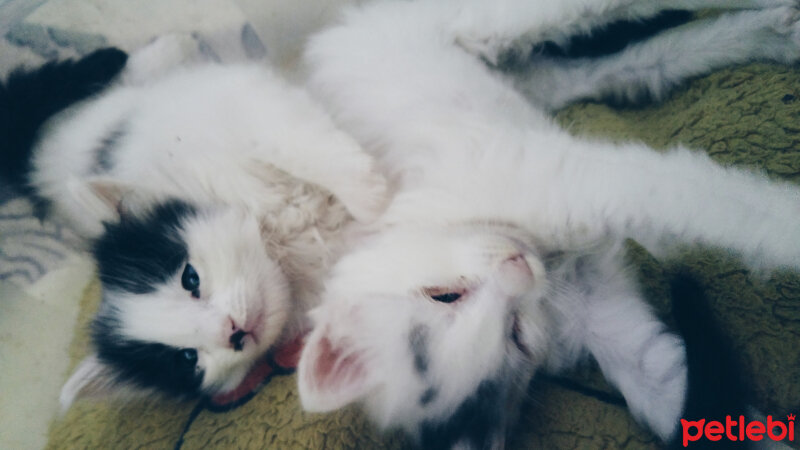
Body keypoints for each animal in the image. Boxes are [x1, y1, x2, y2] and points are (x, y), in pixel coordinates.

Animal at [0, 36, 388, 408]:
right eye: (188, 358)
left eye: (190, 278)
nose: (232, 332)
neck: (276, 241)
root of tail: (36, 162)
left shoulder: (242, 104)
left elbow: (297, 147)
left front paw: (369, 198)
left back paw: (165, 46)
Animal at [296, 0, 800, 446]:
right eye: (516, 338)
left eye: (444, 295)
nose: (516, 266)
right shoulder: (613, 327)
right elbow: (682, 396)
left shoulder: (570, 179)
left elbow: (729, 206)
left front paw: (787, 223)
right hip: (531, 79)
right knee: (622, 69)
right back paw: (773, 34)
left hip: (480, 25)